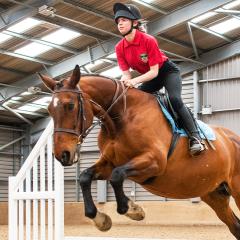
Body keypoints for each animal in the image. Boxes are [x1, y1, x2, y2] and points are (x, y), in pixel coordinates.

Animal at [38, 64, 240, 239]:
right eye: (49, 110)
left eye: (70, 105)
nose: (62, 155)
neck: (121, 117)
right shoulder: (109, 163)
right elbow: (85, 177)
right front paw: (100, 219)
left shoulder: (155, 162)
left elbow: (117, 176)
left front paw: (133, 210)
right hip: (214, 194)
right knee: (235, 226)